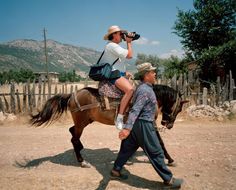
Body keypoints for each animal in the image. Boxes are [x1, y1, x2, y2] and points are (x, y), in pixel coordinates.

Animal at [30, 84, 188, 166]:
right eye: (179, 109)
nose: (168, 125)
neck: (147, 98)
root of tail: (72, 94)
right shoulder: (149, 123)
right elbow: (160, 142)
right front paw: (170, 159)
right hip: (81, 123)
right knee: (74, 138)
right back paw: (82, 161)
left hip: (85, 121)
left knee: (72, 131)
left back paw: (81, 148)